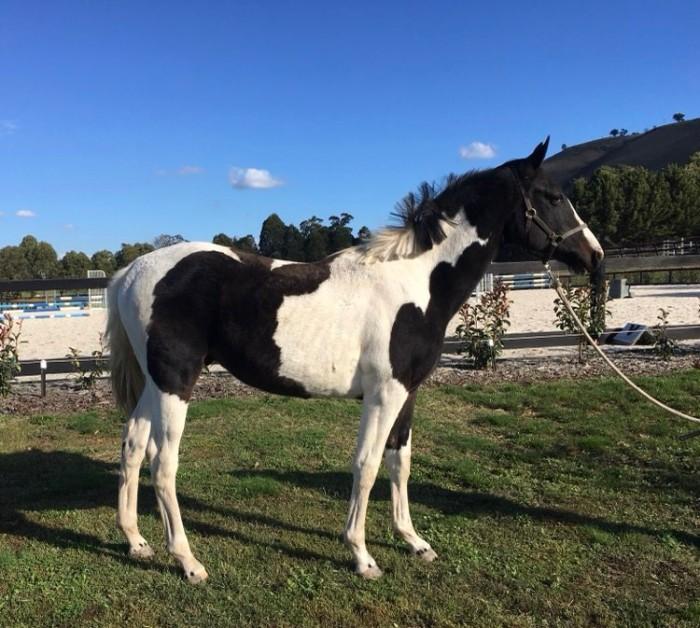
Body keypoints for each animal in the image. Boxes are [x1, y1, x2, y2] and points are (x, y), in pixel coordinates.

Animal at [106, 137, 604, 583]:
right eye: (553, 196)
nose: (594, 255)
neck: (417, 283)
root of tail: (131, 272)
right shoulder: (383, 396)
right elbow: (366, 466)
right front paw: (362, 556)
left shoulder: (407, 393)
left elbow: (400, 461)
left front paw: (413, 541)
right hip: (176, 382)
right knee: (162, 464)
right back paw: (188, 562)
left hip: (155, 383)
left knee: (132, 447)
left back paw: (136, 542)